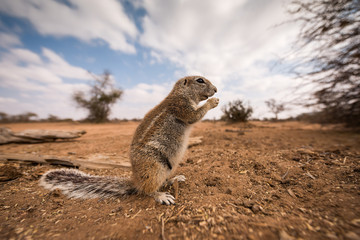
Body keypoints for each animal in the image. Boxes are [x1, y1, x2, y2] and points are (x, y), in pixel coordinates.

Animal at [40, 75, 218, 204]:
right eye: (200, 80)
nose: (216, 89)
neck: (181, 93)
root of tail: (136, 180)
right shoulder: (181, 107)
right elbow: (194, 115)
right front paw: (212, 102)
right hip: (154, 167)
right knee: (148, 190)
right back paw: (161, 196)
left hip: (168, 167)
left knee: (163, 181)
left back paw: (175, 178)